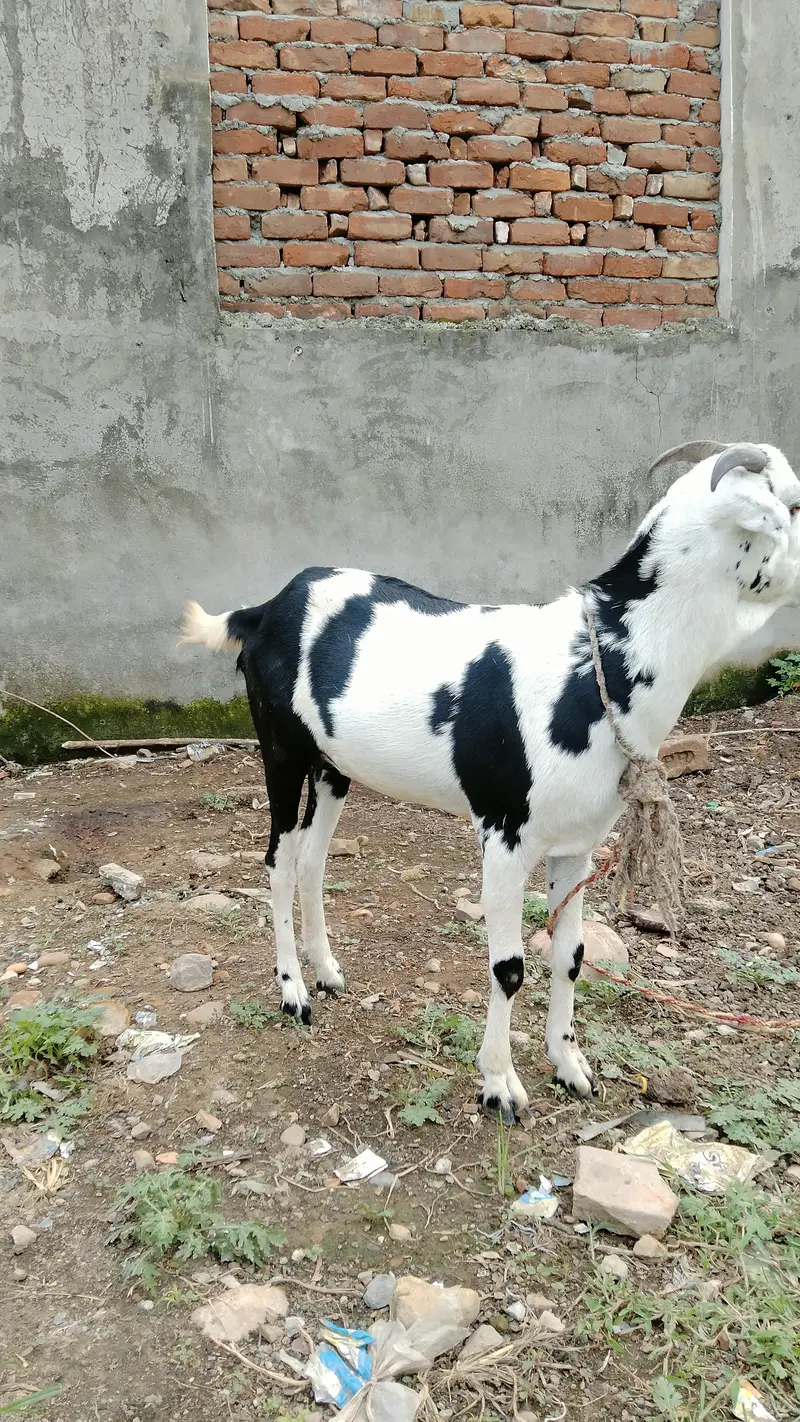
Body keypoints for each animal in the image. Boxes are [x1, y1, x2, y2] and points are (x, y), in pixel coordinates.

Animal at [181, 441, 800, 1123]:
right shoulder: (505, 834)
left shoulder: (577, 843)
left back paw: (327, 971)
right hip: (282, 751)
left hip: (333, 767)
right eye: (794, 506)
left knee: (314, 861)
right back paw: (294, 992)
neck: (596, 665)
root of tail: (263, 610)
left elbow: (571, 956)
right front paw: (500, 1086)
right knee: (279, 861)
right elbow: (508, 967)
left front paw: (570, 1067)